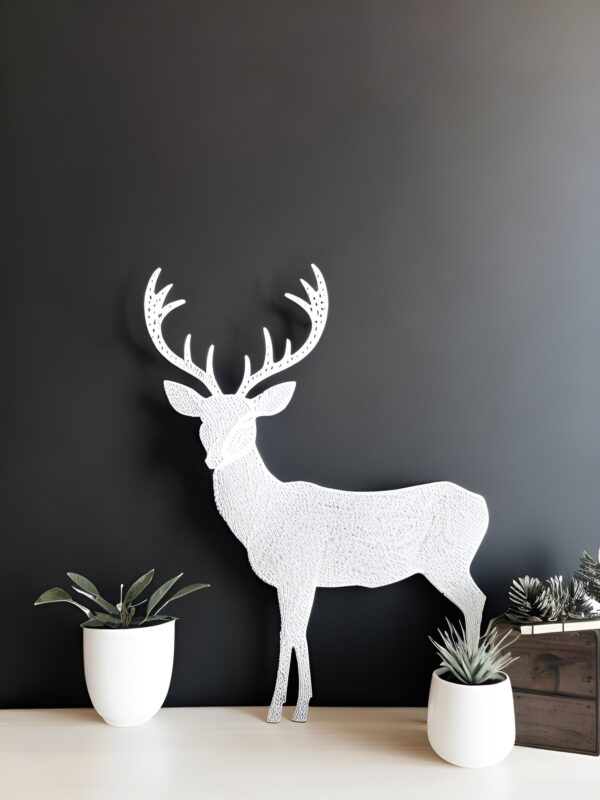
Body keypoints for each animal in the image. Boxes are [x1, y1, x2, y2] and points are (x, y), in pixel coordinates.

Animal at [144, 264, 489, 723]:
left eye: (248, 422)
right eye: (202, 420)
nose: (212, 458)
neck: (264, 518)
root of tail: (484, 505)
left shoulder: (300, 567)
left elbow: (288, 632)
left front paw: (280, 711)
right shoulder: (292, 578)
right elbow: (299, 633)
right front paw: (302, 704)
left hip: (447, 560)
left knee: (475, 599)